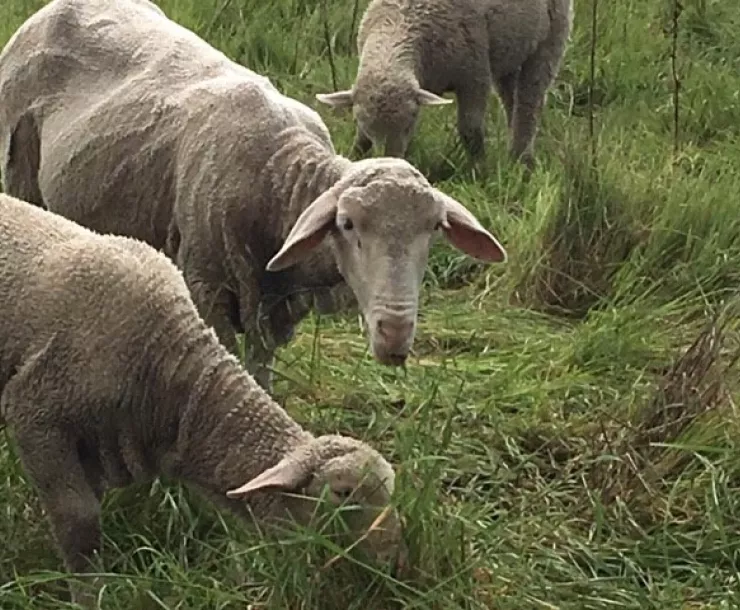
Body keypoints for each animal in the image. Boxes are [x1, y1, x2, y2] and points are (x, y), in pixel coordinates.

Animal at [0, 0, 508, 391]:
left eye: (435, 229)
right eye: (347, 224)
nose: (396, 333)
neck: (277, 177)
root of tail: (53, 8)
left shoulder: (276, 307)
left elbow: (260, 368)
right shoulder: (206, 286)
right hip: (19, 171)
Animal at [316, 0, 573, 167]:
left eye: (409, 123)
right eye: (363, 123)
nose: (392, 160)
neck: (403, 21)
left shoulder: (474, 75)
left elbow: (470, 130)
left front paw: (480, 169)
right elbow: (361, 140)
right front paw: (354, 157)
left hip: (552, 36)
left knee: (530, 101)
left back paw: (522, 158)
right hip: (509, 50)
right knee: (512, 100)